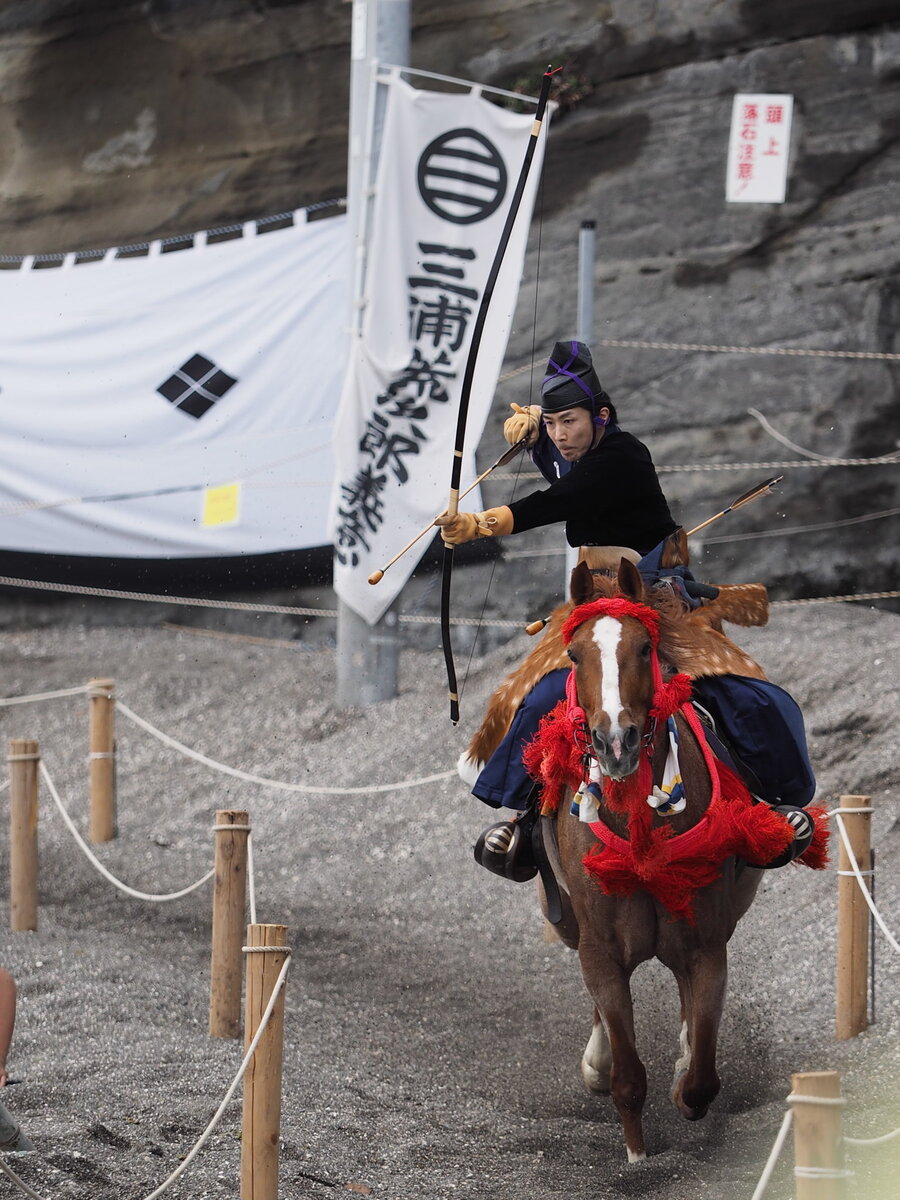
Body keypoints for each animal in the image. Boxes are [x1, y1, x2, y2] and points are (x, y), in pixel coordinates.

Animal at [532, 559, 777, 1161]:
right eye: (575, 655)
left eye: (644, 648)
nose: (615, 741)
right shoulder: (599, 946)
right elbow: (627, 1077)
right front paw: (637, 1154)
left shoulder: (706, 942)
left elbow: (702, 1075)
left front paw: (686, 1080)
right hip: (564, 915)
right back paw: (597, 1063)